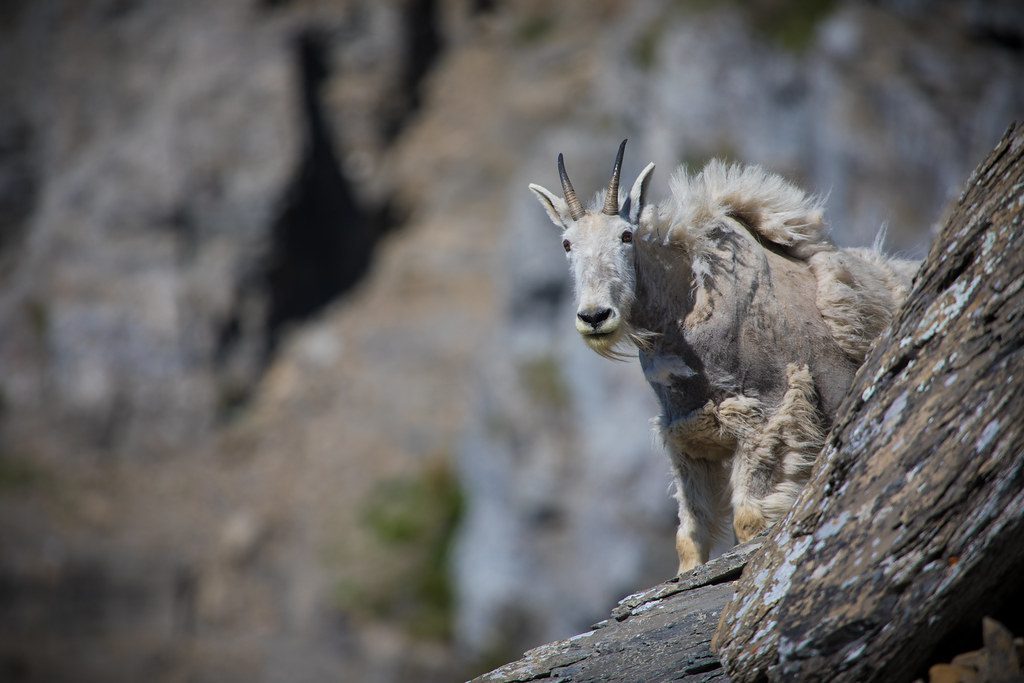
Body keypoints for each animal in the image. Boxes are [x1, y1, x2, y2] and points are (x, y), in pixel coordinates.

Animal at [529, 140, 917, 572]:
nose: (595, 316)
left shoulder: (769, 420)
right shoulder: (686, 439)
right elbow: (689, 537)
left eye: (626, 236)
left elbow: (748, 519)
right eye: (567, 244)